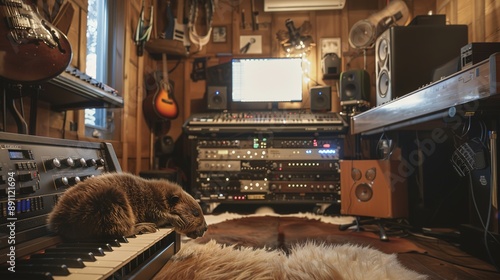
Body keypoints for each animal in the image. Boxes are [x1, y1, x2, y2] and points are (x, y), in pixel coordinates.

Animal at [47, 173, 207, 241]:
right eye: (195, 213)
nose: (205, 228)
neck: (158, 194)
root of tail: (56, 221)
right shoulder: (149, 202)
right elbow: (156, 213)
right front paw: (176, 219)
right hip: (109, 201)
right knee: (121, 230)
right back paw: (145, 227)